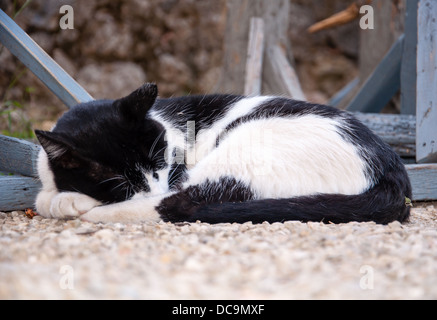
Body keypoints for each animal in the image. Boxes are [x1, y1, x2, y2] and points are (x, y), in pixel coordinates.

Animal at [35, 84, 412, 226]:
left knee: (181, 204)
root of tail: (392, 168)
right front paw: (57, 196)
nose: (155, 185)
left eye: (160, 162)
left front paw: (70, 201)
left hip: (246, 147)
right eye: (120, 182)